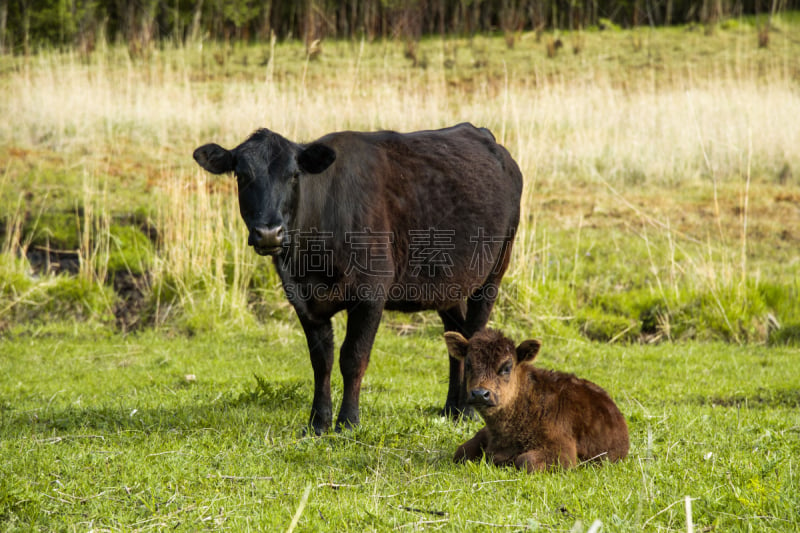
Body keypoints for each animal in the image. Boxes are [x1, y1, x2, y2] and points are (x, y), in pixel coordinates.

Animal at [195, 122, 524, 434]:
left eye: (294, 175)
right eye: (242, 175)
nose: (268, 233)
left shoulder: (370, 294)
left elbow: (353, 358)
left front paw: (348, 422)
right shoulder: (301, 297)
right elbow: (321, 360)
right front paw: (318, 423)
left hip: (493, 272)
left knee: (473, 333)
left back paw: (467, 412)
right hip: (448, 283)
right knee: (456, 337)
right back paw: (450, 410)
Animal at [444, 328, 624, 470]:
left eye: (507, 367)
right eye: (468, 364)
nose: (480, 393)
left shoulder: (563, 452)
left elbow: (525, 460)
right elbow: (461, 451)